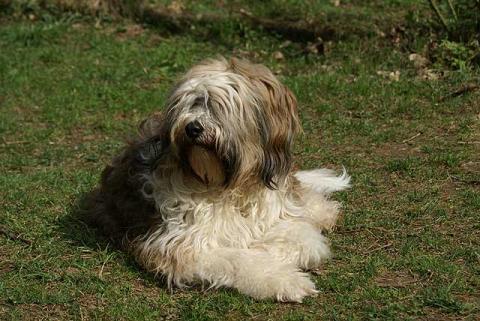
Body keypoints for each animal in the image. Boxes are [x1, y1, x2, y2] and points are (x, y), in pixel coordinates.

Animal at [85, 57, 348, 300]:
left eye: (218, 106)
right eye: (190, 103)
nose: (192, 128)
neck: (228, 186)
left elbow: (307, 241)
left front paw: (266, 247)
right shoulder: (182, 243)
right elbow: (239, 259)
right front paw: (285, 278)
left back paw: (322, 211)